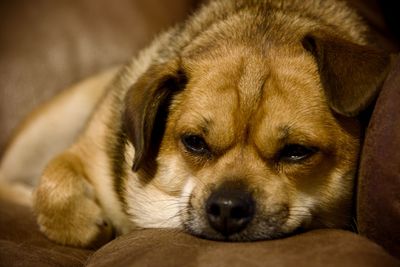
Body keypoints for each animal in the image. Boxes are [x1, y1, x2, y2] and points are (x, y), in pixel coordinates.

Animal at [0, 0, 392, 249]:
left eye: (296, 152)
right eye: (194, 142)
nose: (228, 208)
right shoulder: (86, 150)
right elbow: (52, 182)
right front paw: (87, 223)